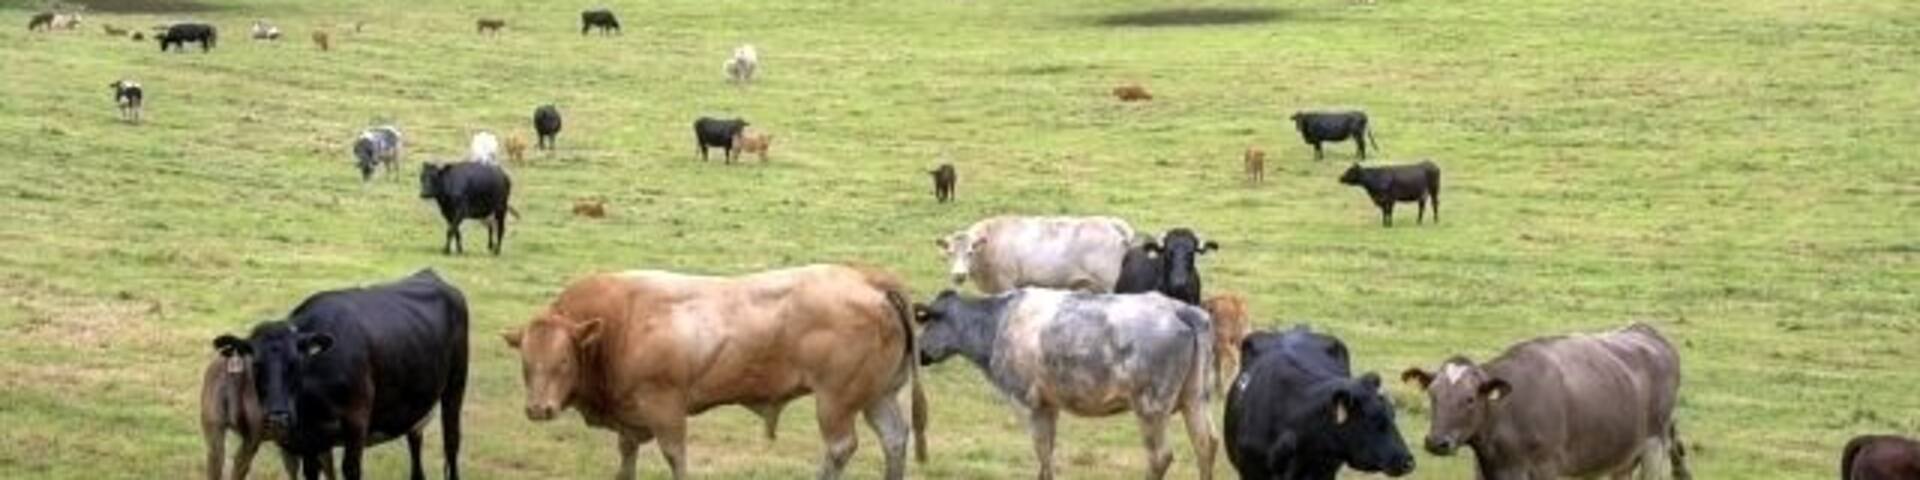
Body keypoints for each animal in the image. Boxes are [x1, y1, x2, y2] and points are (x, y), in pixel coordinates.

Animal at [210, 269, 468, 480]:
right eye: (255, 364)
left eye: (296, 363)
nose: (277, 416)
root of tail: (430, 274)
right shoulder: (308, 437)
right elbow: (311, 471)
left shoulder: (357, 422)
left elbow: (351, 469)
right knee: (415, 437)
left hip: (456, 384)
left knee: (452, 441)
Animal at [502, 265, 927, 480]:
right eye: (526, 363)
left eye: (563, 361)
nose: (538, 409)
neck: (620, 322)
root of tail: (867, 279)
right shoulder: (630, 419)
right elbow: (626, 457)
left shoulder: (665, 408)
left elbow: (675, 456)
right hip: (876, 396)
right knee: (894, 438)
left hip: (835, 401)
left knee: (840, 447)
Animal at [915, 288, 1216, 480]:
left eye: (927, 321)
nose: (918, 352)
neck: (998, 323)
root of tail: (1181, 309)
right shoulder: (1050, 403)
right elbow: (1049, 449)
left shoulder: (1029, 401)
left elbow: (1042, 450)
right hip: (1195, 397)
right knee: (1206, 444)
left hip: (1151, 406)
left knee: (1160, 456)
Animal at [937, 215, 1135, 294]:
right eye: (949, 253)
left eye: (970, 252)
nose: (959, 275)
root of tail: (1108, 222)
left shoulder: (1007, 284)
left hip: (1107, 283)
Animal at [1402, 322, 1690, 480]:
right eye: (1432, 394)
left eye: (1470, 399)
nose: (1436, 442)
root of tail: (1644, 329)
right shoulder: (1484, 470)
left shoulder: (1546, 467)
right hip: (1622, 457)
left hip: (1654, 445)